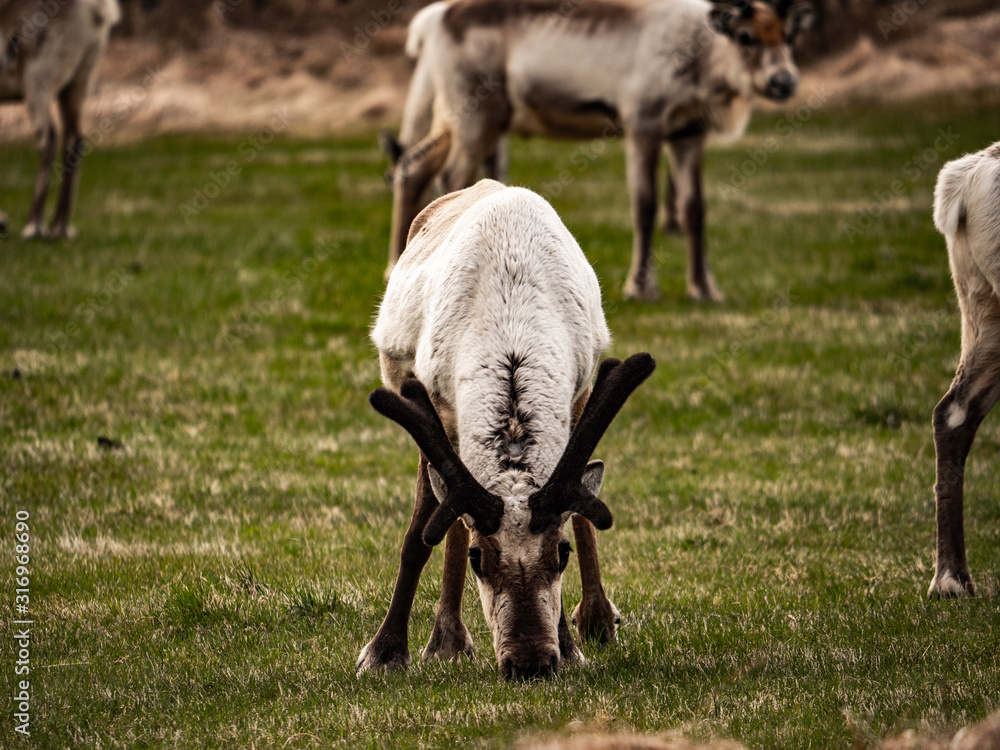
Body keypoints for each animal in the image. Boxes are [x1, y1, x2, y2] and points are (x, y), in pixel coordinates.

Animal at [0, 0, 120, 239]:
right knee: (75, 139)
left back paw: (33, 226)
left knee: (49, 137)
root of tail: (97, 9)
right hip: (78, 80)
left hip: (38, 78)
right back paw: (59, 227)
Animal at [357, 178, 656, 678]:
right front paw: (385, 651)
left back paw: (597, 619)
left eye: (560, 554)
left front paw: (570, 646)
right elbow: (422, 533)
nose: (531, 663)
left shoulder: (579, 389)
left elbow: (575, 514)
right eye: (480, 559)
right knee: (448, 523)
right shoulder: (436, 405)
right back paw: (447, 640)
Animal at [382, 0, 814, 302]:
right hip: (477, 114)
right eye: (746, 36)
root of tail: (433, 18)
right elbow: (645, 205)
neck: (703, 59)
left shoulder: (689, 134)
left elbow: (694, 210)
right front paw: (640, 287)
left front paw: (704, 289)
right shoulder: (643, 124)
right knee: (453, 177)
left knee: (413, 165)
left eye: (790, 35)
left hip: (455, 117)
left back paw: (394, 268)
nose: (784, 81)